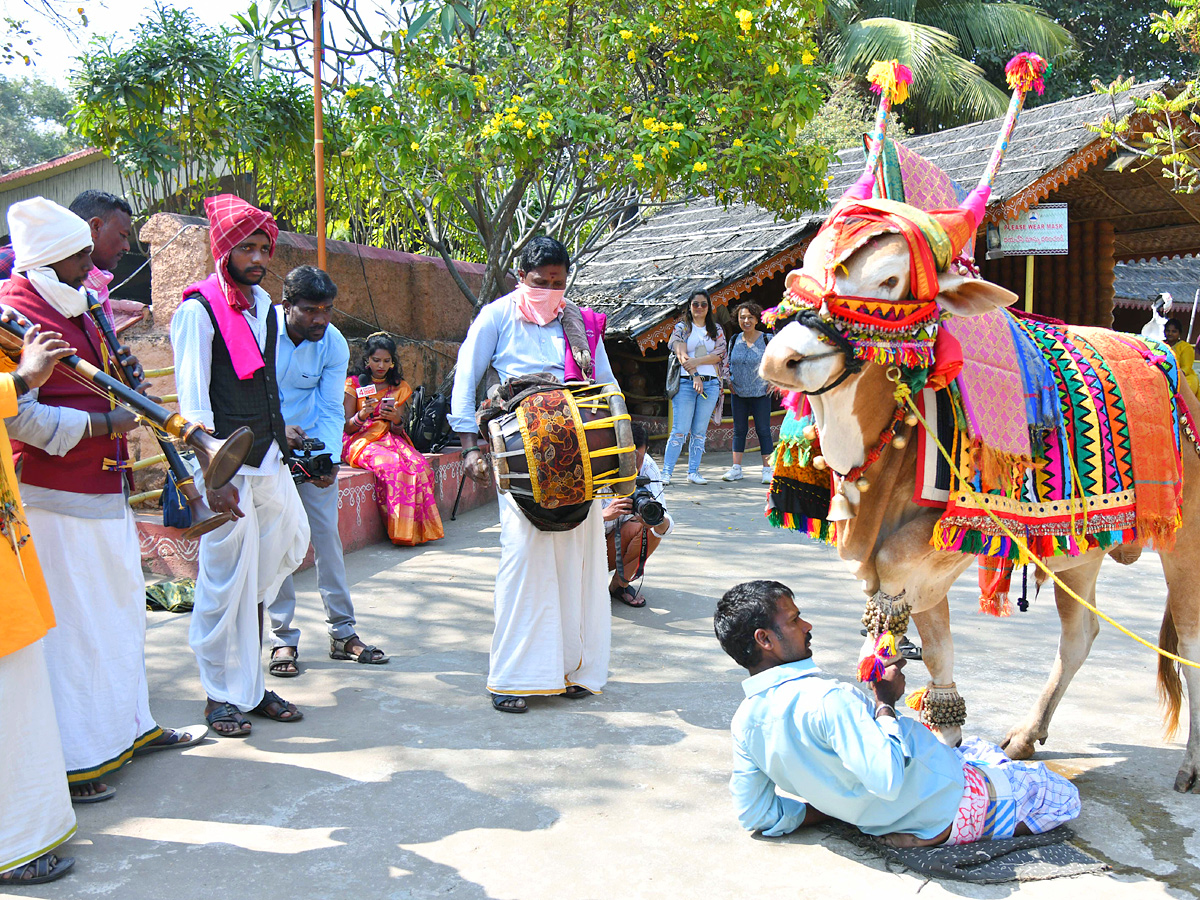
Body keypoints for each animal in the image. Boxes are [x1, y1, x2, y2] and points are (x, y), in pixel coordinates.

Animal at [758, 54, 1200, 787]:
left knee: (1188, 636)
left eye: (889, 281)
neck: (878, 452)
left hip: (1185, 538)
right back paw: (1027, 734)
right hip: (1080, 548)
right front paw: (947, 742)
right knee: (1081, 633)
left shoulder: (940, 546)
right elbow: (935, 656)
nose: (783, 358)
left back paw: (1189, 763)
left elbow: (910, 614)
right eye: (807, 269)